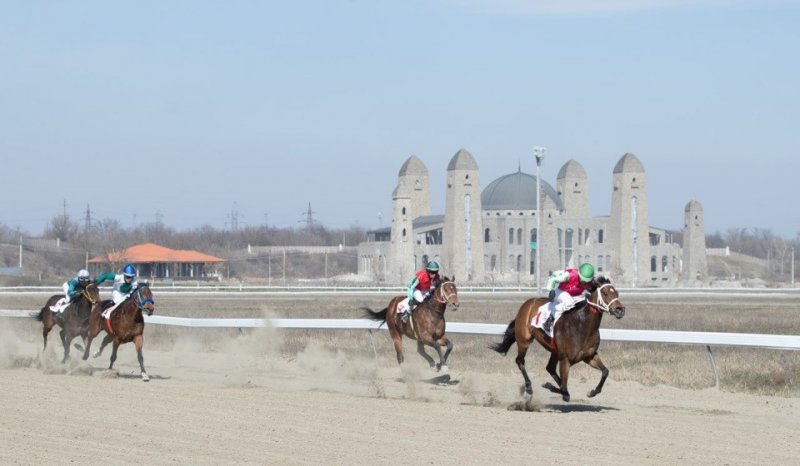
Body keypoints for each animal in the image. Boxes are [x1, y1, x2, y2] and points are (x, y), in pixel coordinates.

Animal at [488, 274, 624, 402]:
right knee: (520, 361)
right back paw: (529, 387)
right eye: (605, 293)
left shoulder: (589, 356)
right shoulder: (565, 359)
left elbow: (605, 371)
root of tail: (528, 303)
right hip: (524, 340)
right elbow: (564, 389)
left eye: (617, 293)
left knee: (550, 368)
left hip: (554, 351)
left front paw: (592, 392)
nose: (620, 310)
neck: (582, 325)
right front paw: (550, 386)